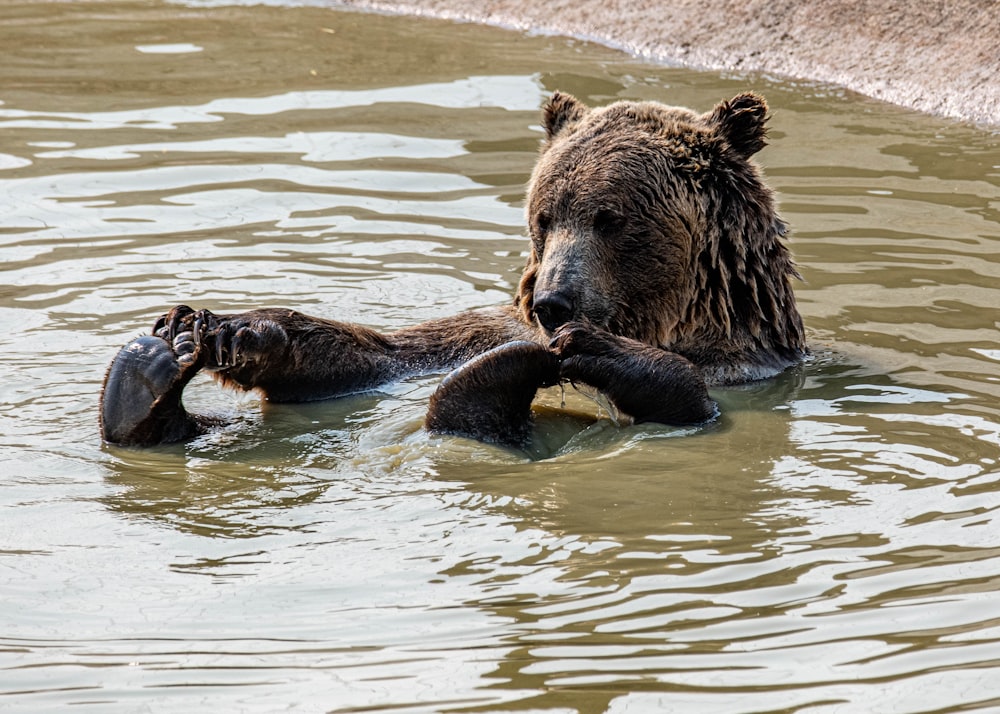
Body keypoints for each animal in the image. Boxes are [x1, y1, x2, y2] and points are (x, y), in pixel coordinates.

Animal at [99, 89, 804, 444]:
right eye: (545, 216)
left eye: (611, 218)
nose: (553, 304)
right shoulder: (480, 327)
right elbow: (384, 356)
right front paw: (228, 327)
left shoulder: (750, 371)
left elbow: (695, 397)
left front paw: (593, 348)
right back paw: (149, 375)